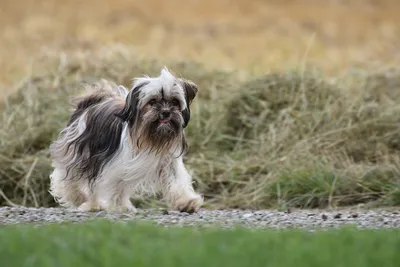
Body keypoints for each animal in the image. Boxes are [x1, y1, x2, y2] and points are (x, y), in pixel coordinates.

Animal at [48, 68, 203, 215]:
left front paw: (187, 202)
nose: (165, 112)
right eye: (152, 101)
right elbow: (118, 185)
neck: (152, 137)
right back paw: (78, 197)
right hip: (80, 153)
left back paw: (93, 205)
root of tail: (91, 102)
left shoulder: (168, 161)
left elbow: (176, 180)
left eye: (175, 101)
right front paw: (120, 206)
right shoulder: (117, 164)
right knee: (67, 177)